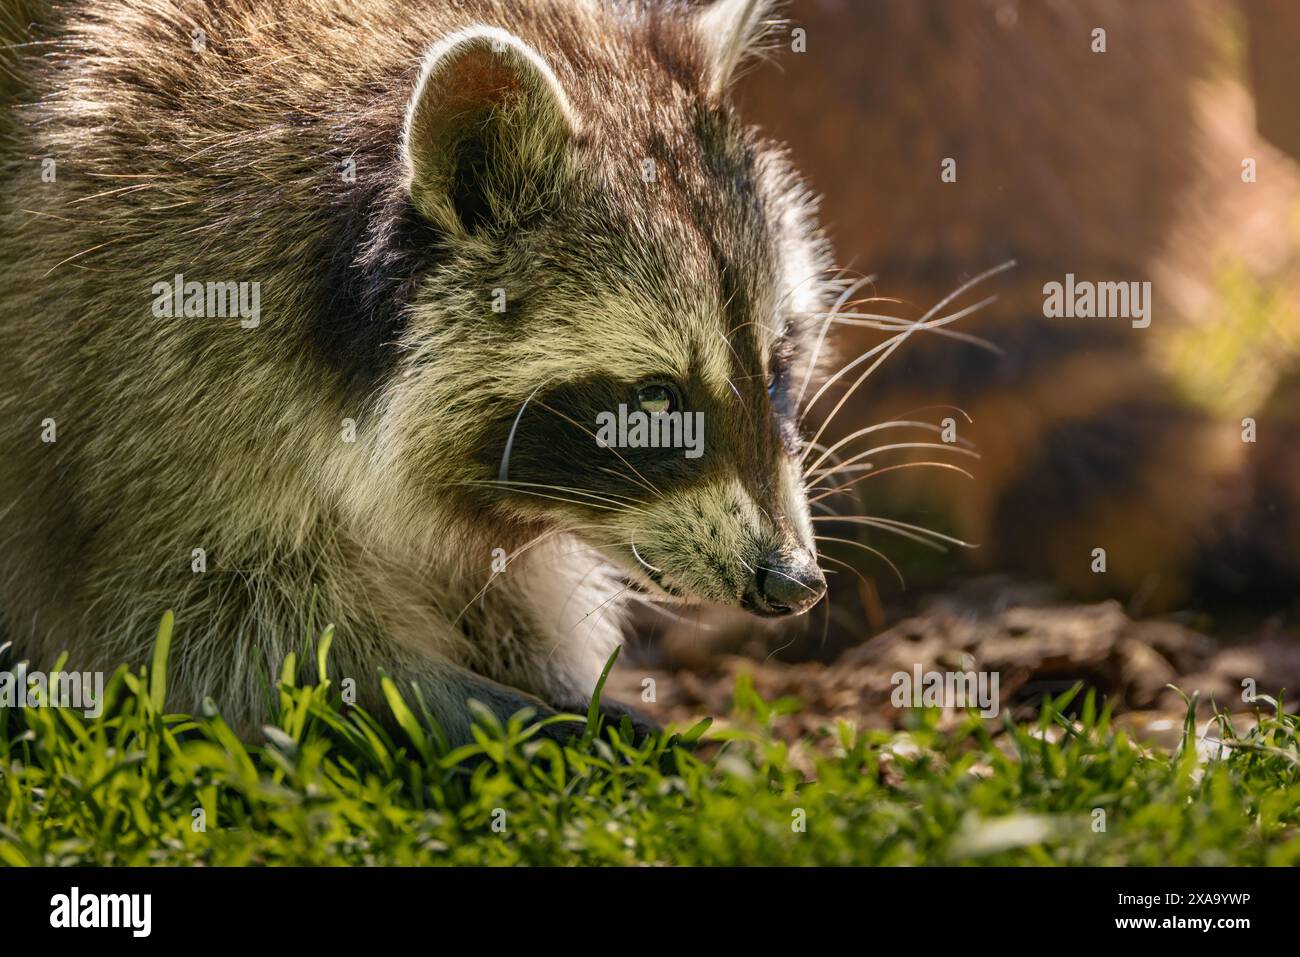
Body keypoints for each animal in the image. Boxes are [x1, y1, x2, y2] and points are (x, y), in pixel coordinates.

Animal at [0, 0, 835, 741]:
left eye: (775, 370)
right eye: (657, 400)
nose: (794, 581)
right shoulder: (132, 383)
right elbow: (211, 633)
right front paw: (470, 702)